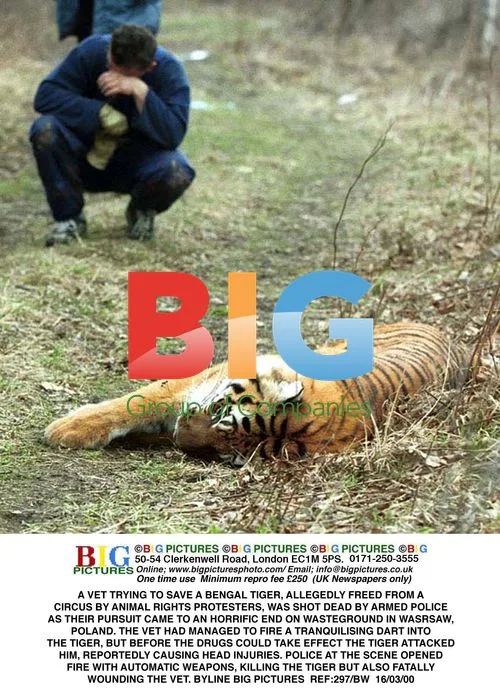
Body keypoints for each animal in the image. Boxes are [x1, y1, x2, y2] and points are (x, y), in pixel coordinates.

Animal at [45, 322, 469, 465]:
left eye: (224, 452)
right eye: (219, 411)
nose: (181, 439)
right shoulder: (194, 384)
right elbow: (136, 402)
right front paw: (66, 430)